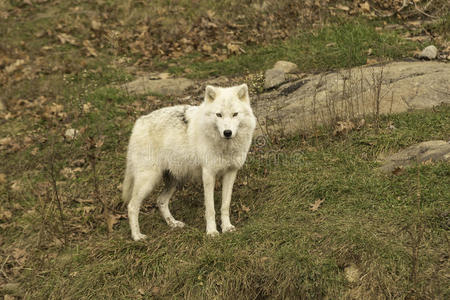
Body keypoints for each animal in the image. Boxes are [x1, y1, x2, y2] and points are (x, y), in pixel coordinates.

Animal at [123, 83, 256, 240]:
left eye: (235, 114)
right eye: (219, 115)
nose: (227, 132)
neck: (225, 148)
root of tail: (138, 123)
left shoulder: (231, 173)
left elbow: (225, 205)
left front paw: (227, 227)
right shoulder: (208, 174)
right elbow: (210, 208)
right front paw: (212, 232)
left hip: (174, 180)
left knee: (160, 201)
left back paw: (173, 223)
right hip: (148, 181)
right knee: (132, 206)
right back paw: (137, 236)